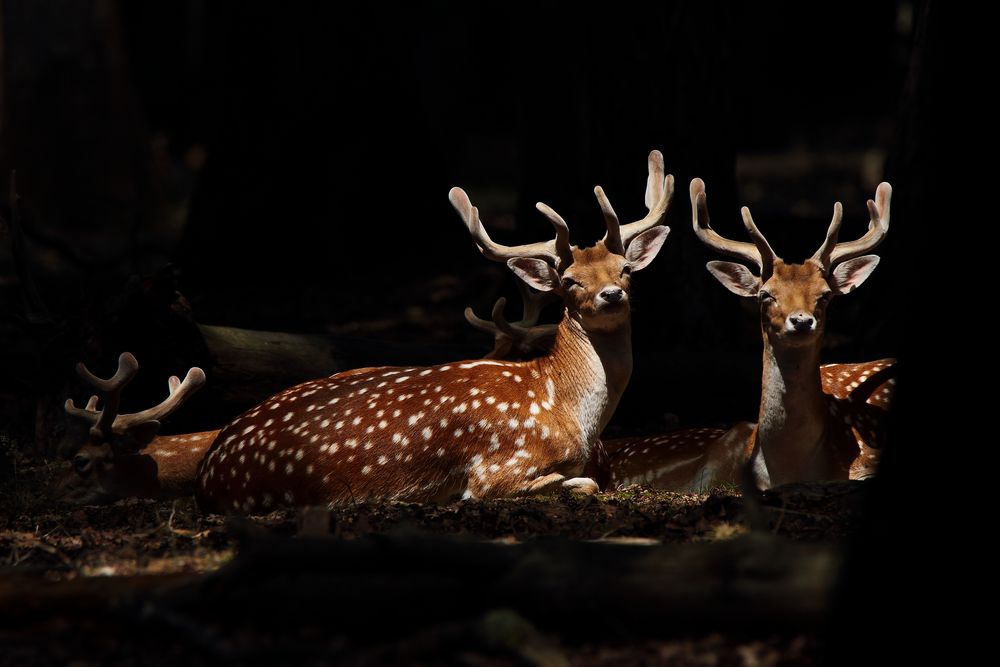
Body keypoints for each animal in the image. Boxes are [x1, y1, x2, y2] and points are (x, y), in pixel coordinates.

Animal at [195, 153, 676, 516]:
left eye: (625, 269)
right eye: (571, 281)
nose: (611, 294)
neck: (565, 409)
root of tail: (208, 471)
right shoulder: (498, 466)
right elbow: (581, 485)